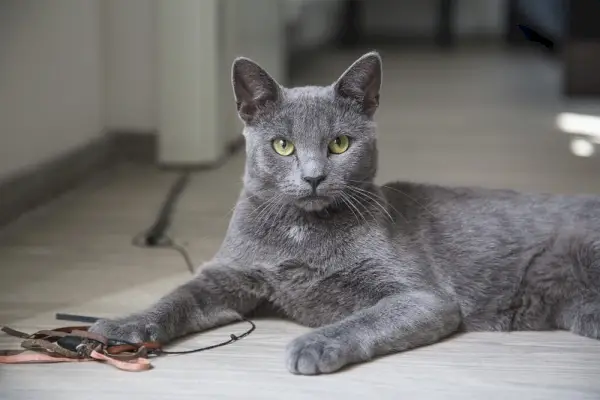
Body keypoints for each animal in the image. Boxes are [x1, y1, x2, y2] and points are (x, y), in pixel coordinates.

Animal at [90, 51, 600, 374]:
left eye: (339, 143)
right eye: (283, 145)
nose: (314, 176)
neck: (300, 232)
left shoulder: (424, 297)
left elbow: (364, 319)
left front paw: (314, 345)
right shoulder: (228, 274)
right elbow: (177, 297)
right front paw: (123, 324)